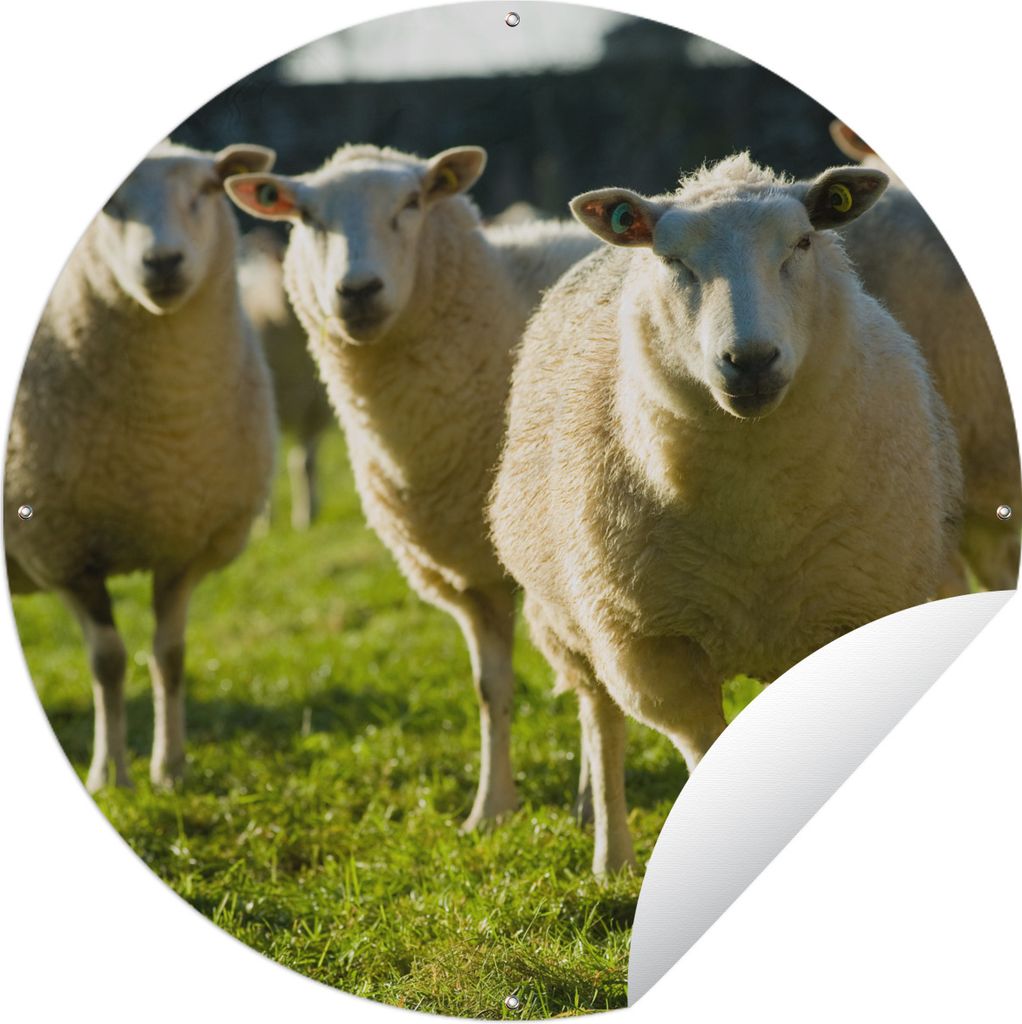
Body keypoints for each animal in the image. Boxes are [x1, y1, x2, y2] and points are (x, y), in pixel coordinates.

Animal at [5, 141, 278, 793]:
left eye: (205, 189)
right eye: (109, 205)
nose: (163, 261)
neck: (162, 439)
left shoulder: (183, 546)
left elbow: (169, 656)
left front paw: (171, 768)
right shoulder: (64, 553)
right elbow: (107, 661)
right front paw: (110, 774)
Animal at [488, 154, 964, 873]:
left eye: (801, 243)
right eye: (673, 261)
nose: (751, 361)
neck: (753, 521)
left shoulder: (847, 616)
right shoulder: (652, 646)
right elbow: (699, 752)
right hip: (574, 622)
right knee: (601, 723)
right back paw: (612, 856)